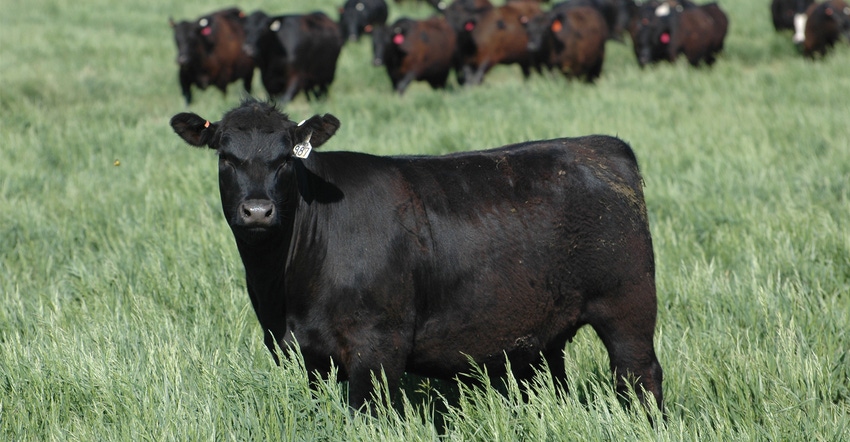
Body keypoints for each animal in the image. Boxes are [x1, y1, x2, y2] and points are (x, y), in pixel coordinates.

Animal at [171, 98, 664, 416]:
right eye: (226, 156)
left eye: (285, 160)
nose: (257, 210)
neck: (287, 285)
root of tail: (599, 145)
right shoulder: (300, 352)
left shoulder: (377, 345)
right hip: (544, 330)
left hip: (628, 306)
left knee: (640, 375)